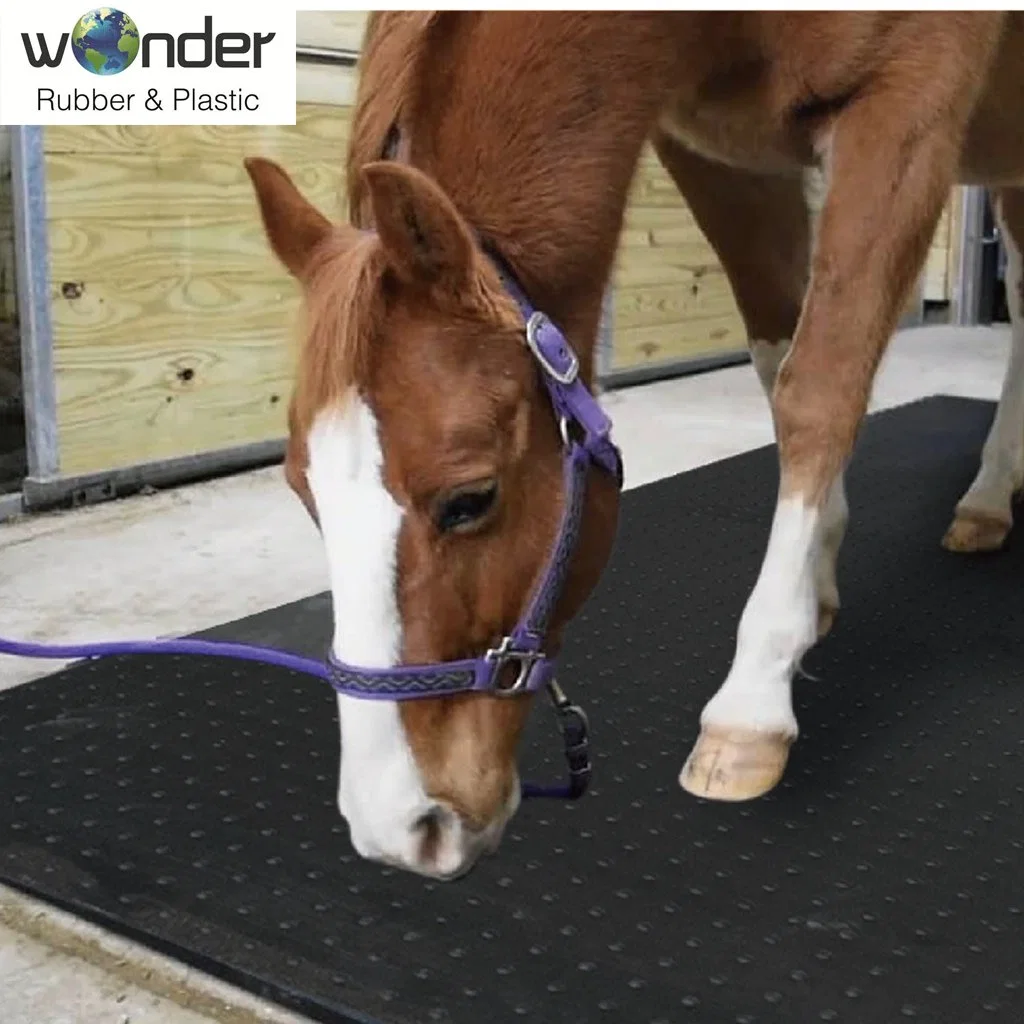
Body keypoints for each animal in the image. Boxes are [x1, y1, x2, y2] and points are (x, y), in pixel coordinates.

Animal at [245, 9, 1024, 880]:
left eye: (470, 499)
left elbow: (822, 385)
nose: (400, 830)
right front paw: (815, 583)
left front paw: (752, 703)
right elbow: (778, 361)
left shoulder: (906, 105)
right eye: (303, 493)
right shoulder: (723, 163)